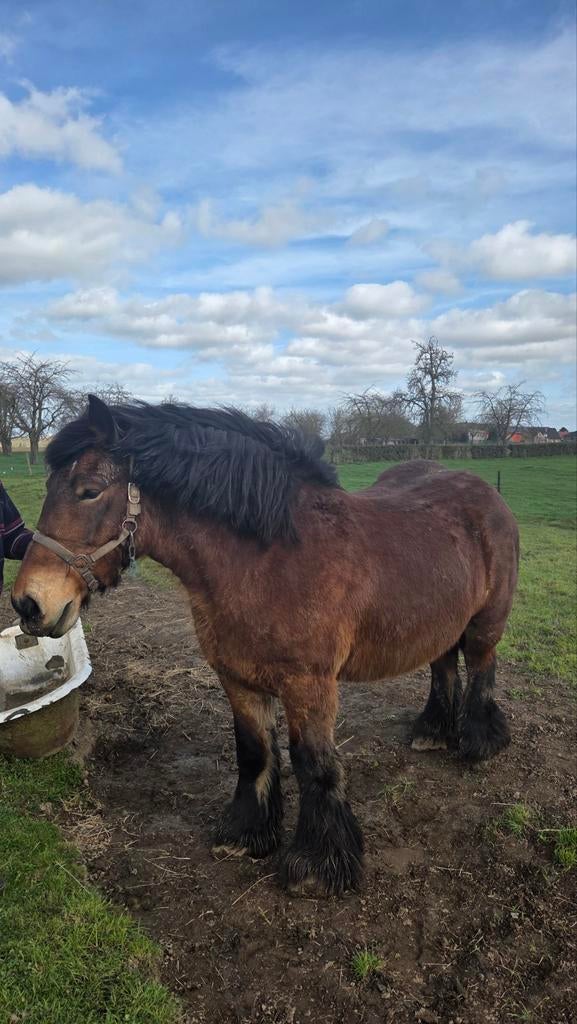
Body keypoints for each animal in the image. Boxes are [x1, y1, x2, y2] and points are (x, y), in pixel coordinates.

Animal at [12, 396, 519, 896]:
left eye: (90, 490)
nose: (29, 602)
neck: (268, 560)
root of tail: (486, 493)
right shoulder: (238, 679)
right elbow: (254, 752)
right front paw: (247, 834)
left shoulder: (310, 686)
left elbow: (314, 764)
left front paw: (317, 864)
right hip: (438, 624)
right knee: (443, 668)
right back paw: (433, 730)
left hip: (483, 626)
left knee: (481, 670)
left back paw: (477, 741)